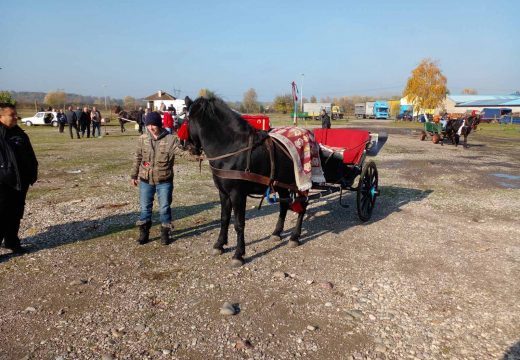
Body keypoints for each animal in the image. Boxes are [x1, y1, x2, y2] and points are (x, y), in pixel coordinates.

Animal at [186, 95, 316, 268]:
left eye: (186, 120)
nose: (186, 145)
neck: (231, 148)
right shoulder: (223, 193)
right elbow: (224, 219)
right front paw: (219, 245)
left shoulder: (237, 194)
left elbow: (239, 223)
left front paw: (238, 254)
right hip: (281, 184)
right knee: (284, 206)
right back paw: (277, 233)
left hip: (300, 184)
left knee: (302, 207)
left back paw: (295, 237)